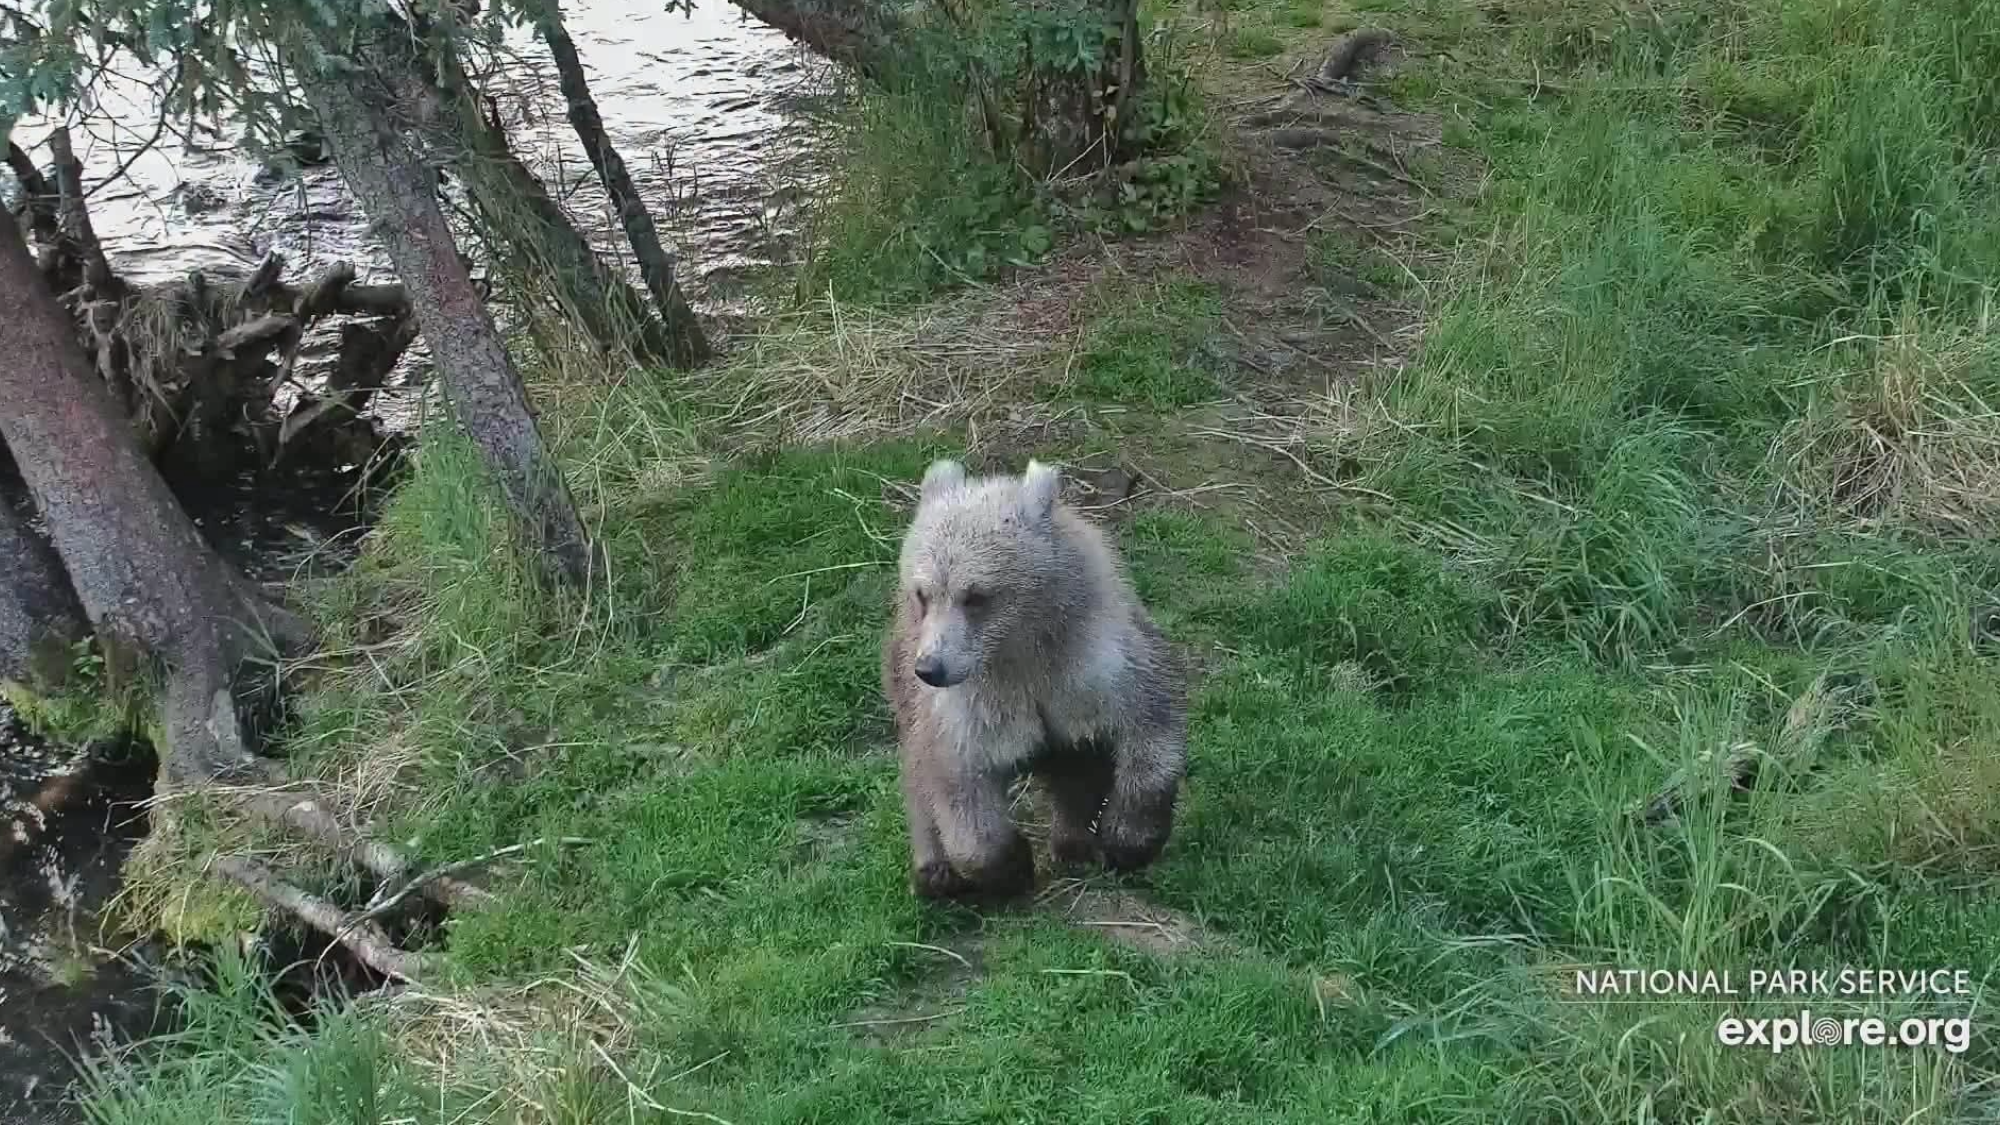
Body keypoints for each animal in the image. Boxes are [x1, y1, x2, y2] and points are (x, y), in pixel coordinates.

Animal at [881, 457, 1189, 901]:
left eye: (976, 595)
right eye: (923, 593)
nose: (931, 668)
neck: (1021, 654)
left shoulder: (1098, 666)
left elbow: (1150, 730)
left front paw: (1126, 841)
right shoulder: (968, 707)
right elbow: (958, 789)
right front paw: (1011, 868)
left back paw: (1072, 842)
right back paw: (936, 875)